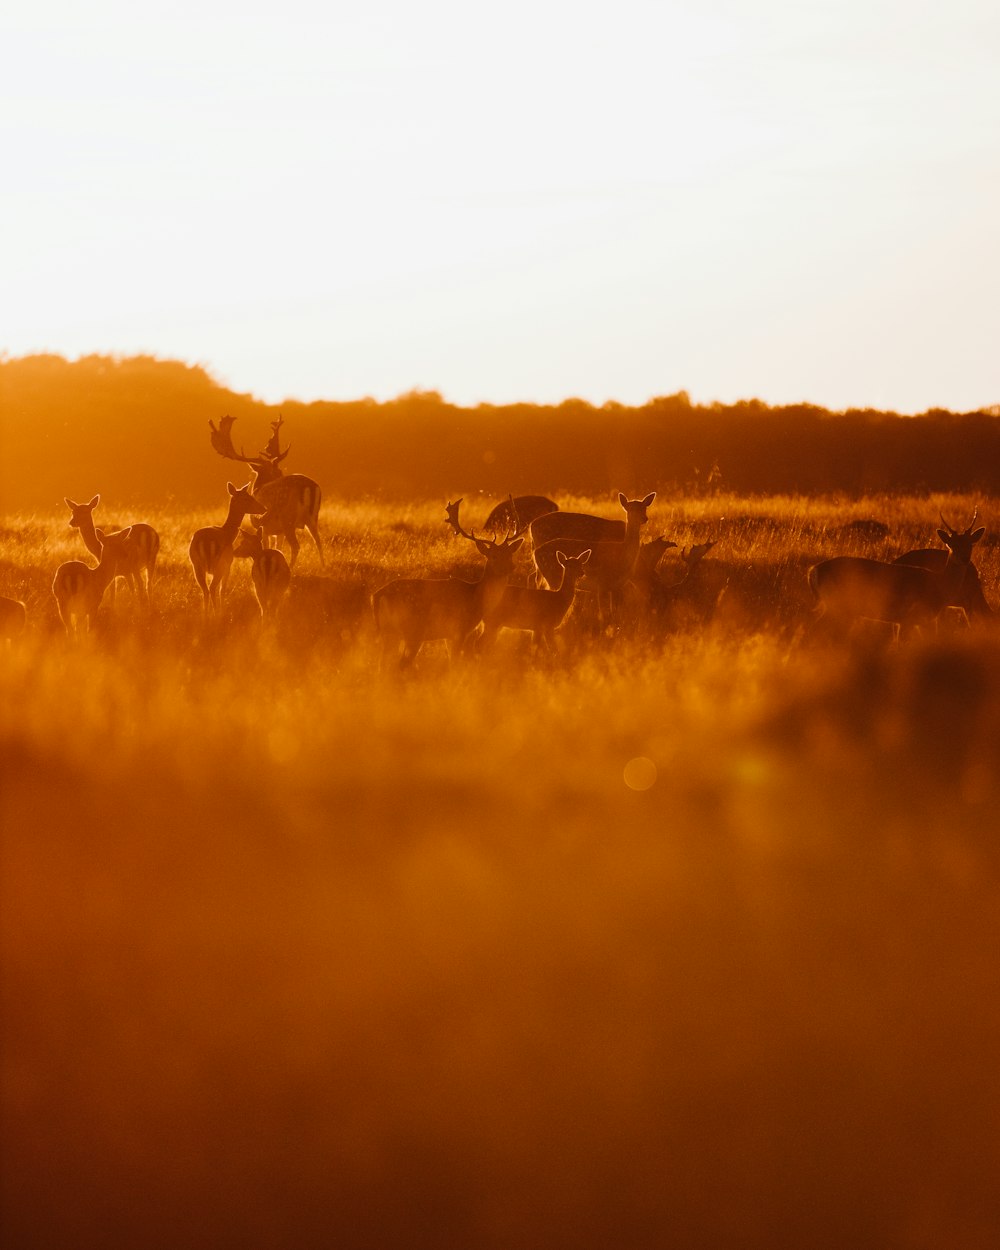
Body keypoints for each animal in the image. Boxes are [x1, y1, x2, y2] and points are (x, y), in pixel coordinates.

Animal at [187, 480, 265, 612]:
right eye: (247, 497)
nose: (263, 508)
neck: (228, 533)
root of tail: (205, 541)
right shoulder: (228, 565)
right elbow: (222, 590)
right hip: (219, 564)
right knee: (213, 588)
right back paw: (217, 614)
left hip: (196, 565)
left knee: (205, 590)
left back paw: (205, 614)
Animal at [208, 412, 322, 570]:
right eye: (278, 470)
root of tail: (307, 486)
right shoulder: (276, 531)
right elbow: (278, 548)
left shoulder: (263, 526)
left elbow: (267, 546)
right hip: (313, 517)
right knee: (319, 541)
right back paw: (324, 565)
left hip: (288, 519)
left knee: (296, 546)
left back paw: (291, 568)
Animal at [372, 517, 522, 670]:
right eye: (494, 555)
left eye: (510, 554)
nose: (511, 567)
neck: (476, 599)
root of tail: (378, 596)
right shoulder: (459, 630)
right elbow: (455, 662)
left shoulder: (448, 635)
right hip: (412, 630)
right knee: (401, 664)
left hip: (389, 632)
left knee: (382, 665)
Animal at [805, 510, 985, 640]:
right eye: (951, 545)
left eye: (970, 544)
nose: (964, 558)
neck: (938, 585)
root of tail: (813, 571)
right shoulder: (911, 617)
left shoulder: (911, 621)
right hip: (837, 604)